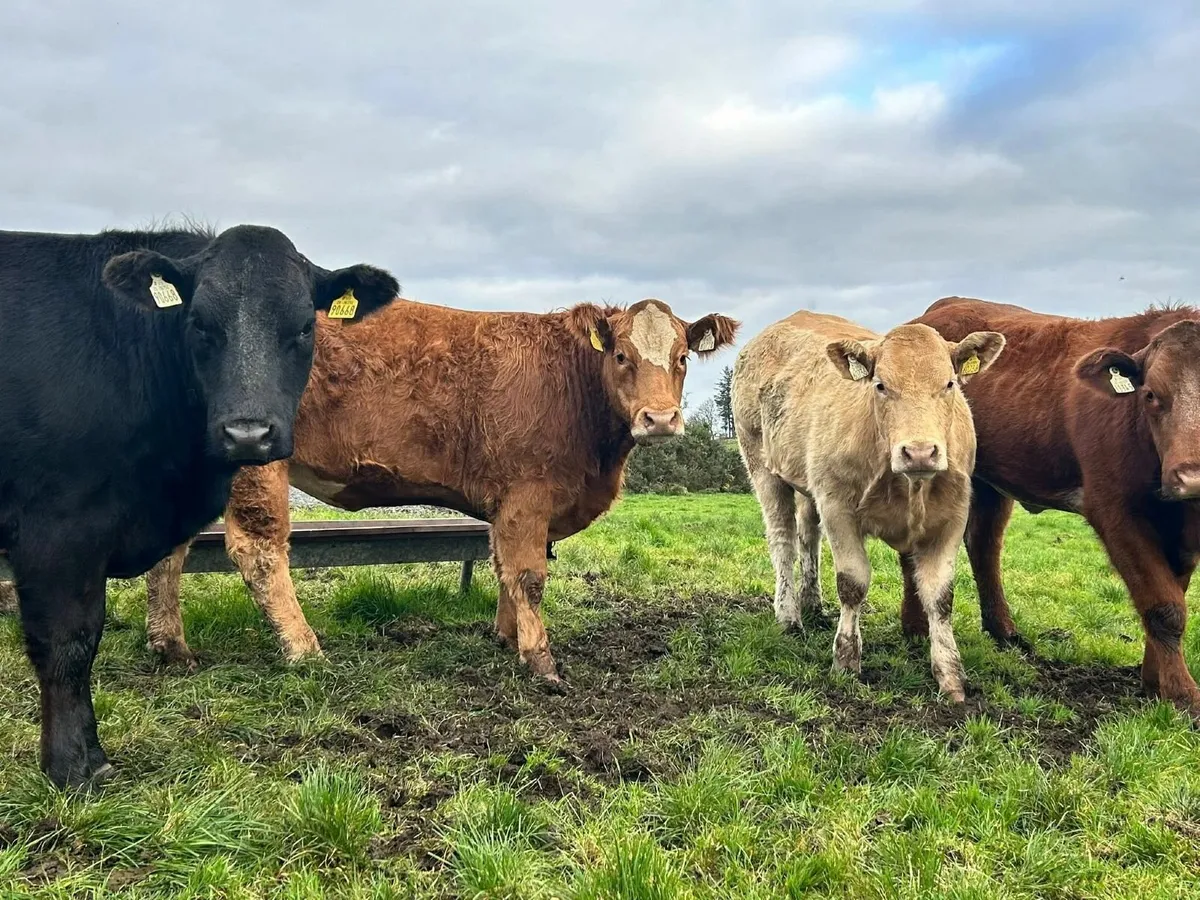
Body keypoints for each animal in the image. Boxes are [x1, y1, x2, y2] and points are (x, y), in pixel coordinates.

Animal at [0, 225, 398, 787]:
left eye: (304, 326)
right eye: (198, 322)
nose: (248, 433)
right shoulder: (55, 527)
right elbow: (68, 642)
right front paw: (76, 767)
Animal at [130, 297, 739, 689]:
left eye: (683, 358)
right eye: (620, 356)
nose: (659, 418)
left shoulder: (508, 504)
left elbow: (502, 568)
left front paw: (505, 637)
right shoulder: (528, 493)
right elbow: (528, 576)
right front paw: (540, 661)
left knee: (171, 550)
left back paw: (171, 648)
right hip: (254, 458)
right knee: (257, 550)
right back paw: (304, 650)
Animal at [732, 311, 1004, 700]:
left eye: (950, 383)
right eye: (880, 385)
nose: (919, 452)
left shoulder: (952, 517)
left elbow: (941, 597)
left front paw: (951, 676)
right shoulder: (837, 506)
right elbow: (853, 584)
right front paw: (846, 661)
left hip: (807, 484)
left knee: (807, 536)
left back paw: (812, 603)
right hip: (761, 465)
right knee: (783, 540)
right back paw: (789, 616)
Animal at [900, 297, 1200, 716]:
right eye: (1151, 395)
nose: (1192, 477)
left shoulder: (1183, 532)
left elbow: (1173, 593)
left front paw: (1153, 679)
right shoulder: (1117, 512)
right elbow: (1164, 606)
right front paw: (1182, 694)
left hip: (989, 481)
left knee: (984, 545)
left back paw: (1003, 631)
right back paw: (914, 628)